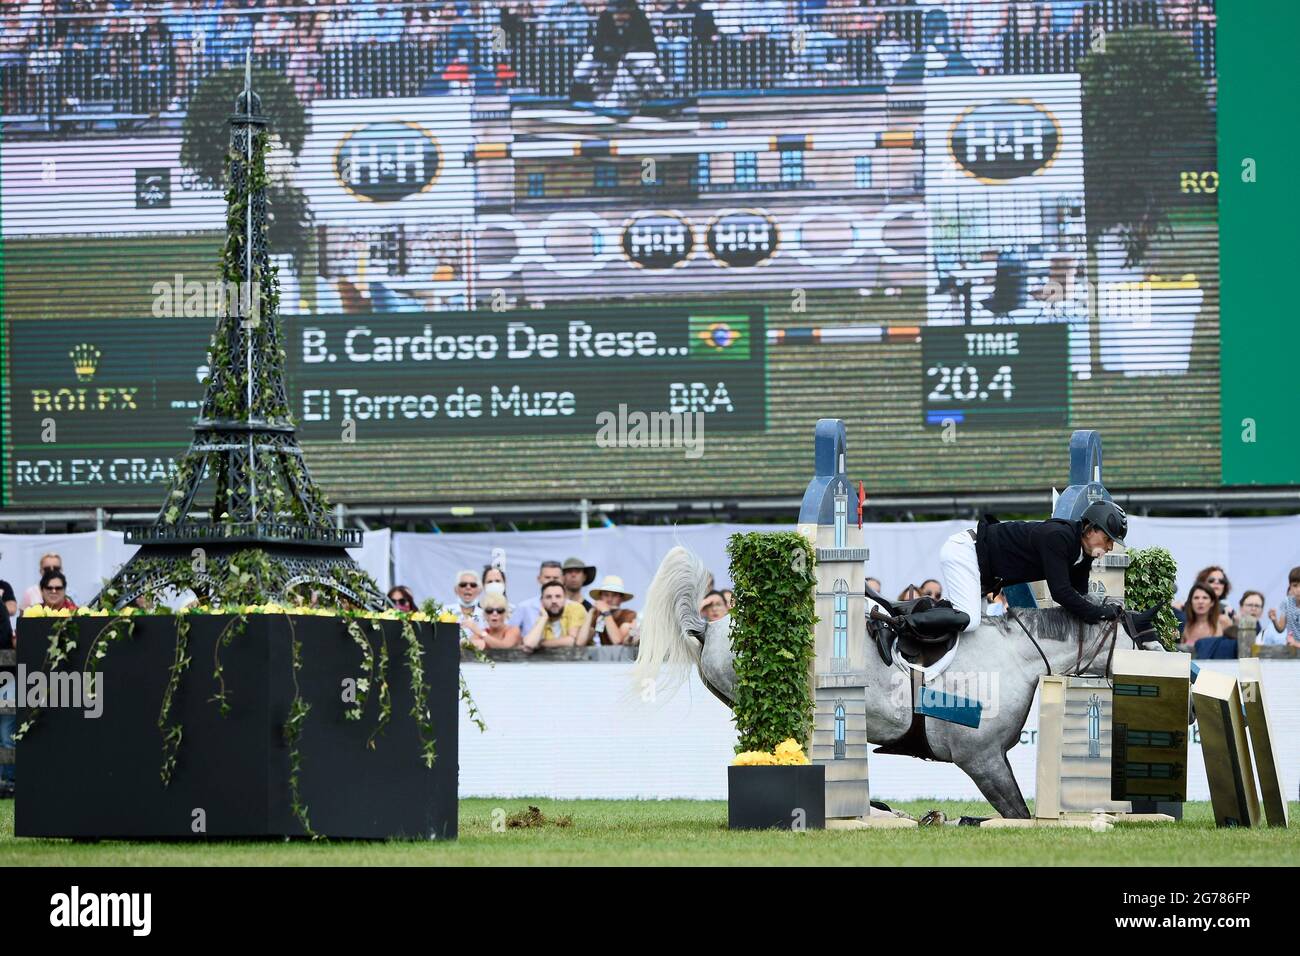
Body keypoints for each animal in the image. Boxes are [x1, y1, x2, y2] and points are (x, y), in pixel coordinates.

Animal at [634, 548, 1175, 816]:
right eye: (1148, 648)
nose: (1178, 687)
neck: (1016, 658)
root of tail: (711, 625)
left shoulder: (988, 760)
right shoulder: (981, 760)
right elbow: (1017, 813)